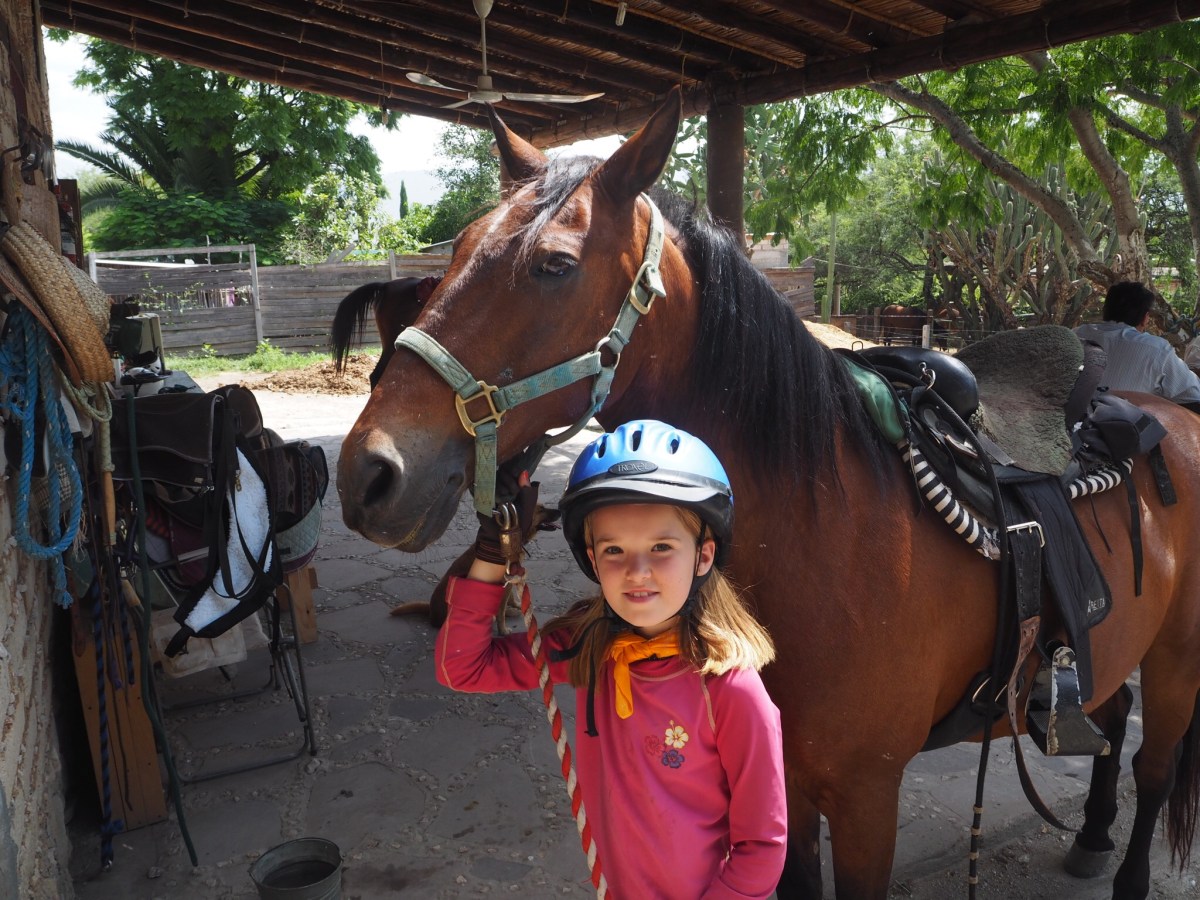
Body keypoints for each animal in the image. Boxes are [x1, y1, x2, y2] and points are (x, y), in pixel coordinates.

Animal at [336, 90, 1200, 899]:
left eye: (554, 264)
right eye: (459, 251)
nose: (369, 474)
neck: (828, 535)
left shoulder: (866, 798)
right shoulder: (787, 777)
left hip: (1173, 663)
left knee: (1155, 770)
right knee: (1109, 722)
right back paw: (1090, 835)